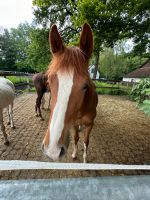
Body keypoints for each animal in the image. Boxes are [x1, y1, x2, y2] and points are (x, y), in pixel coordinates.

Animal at [42, 23, 98, 162]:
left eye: (85, 86)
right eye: (49, 81)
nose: (53, 150)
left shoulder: (90, 125)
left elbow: (86, 142)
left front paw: (84, 160)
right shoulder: (73, 125)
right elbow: (76, 138)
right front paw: (74, 154)